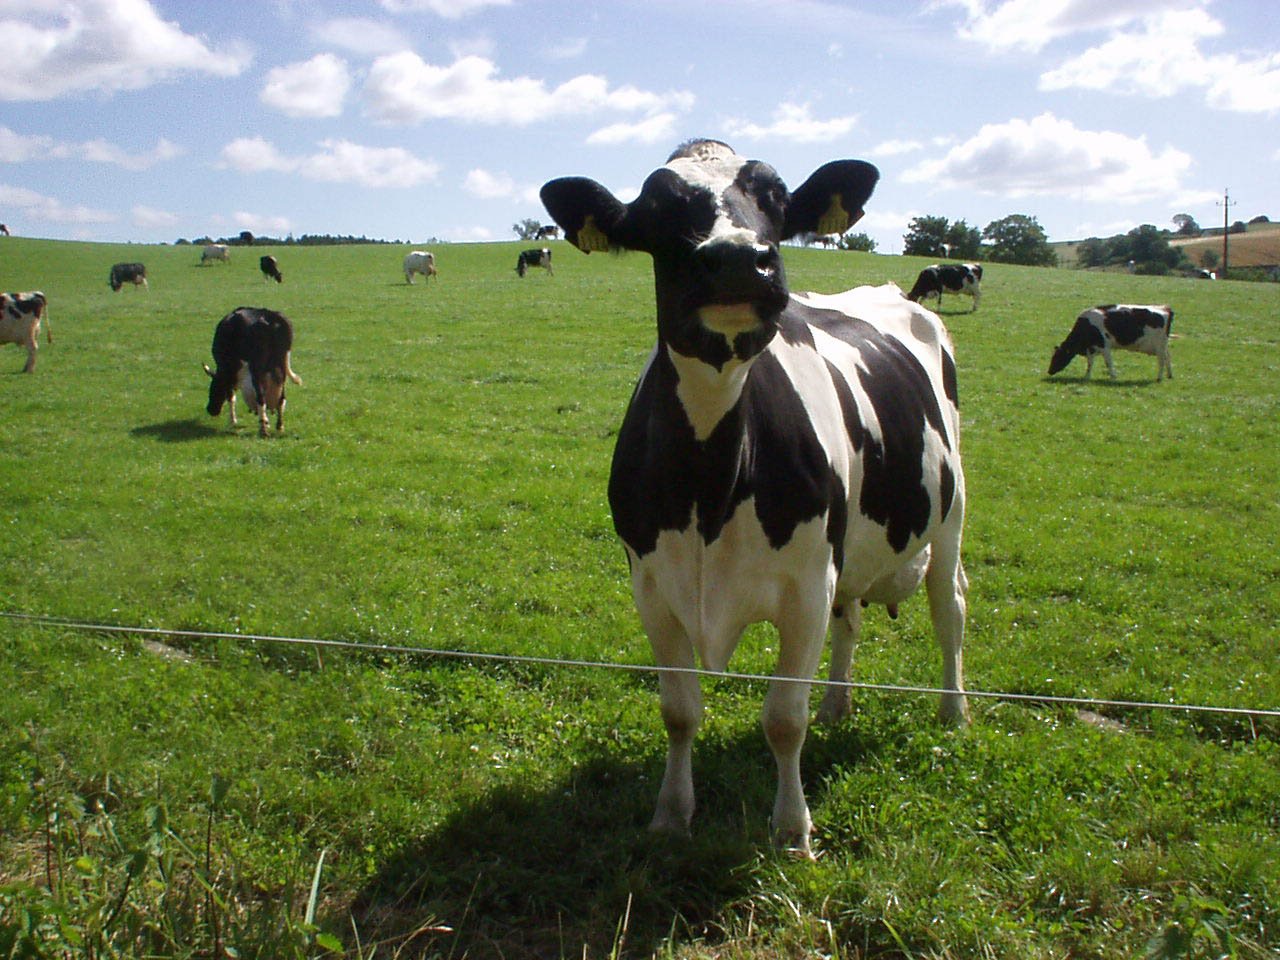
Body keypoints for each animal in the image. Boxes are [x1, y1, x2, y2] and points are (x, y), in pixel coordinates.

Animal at [204, 305, 304, 437]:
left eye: (213, 388)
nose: (210, 409)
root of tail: (270, 316)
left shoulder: (229, 372)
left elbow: (231, 396)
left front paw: (232, 421)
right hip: (281, 368)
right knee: (282, 398)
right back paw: (279, 426)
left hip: (256, 370)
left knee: (261, 398)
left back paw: (263, 428)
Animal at [540, 136, 967, 855]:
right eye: (657, 210)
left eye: (777, 201)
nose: (741, 257)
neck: (709, 489)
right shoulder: (652, 587)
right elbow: (679, 711)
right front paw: (671, 814)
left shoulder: (805, 588)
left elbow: (783, 719)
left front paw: (793, 830)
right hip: (850, 553)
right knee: (851, 619)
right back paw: (839, 703)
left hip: (951, 518)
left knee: (951, 611)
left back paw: (953, 710)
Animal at [1044, 305, 1172, 386]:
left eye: (1057, 357)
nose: (1049, 371)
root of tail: (1164, 308)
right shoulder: (1091, 348)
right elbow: (1090, 363)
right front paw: (1087, 377)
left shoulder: (1104, 346)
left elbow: (1108, 362)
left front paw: (1113, 377)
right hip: (1163, 346)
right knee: (1168, 357)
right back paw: (1169, 375)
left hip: (1159, 346)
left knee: (1162, 361)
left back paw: (1159, 378)